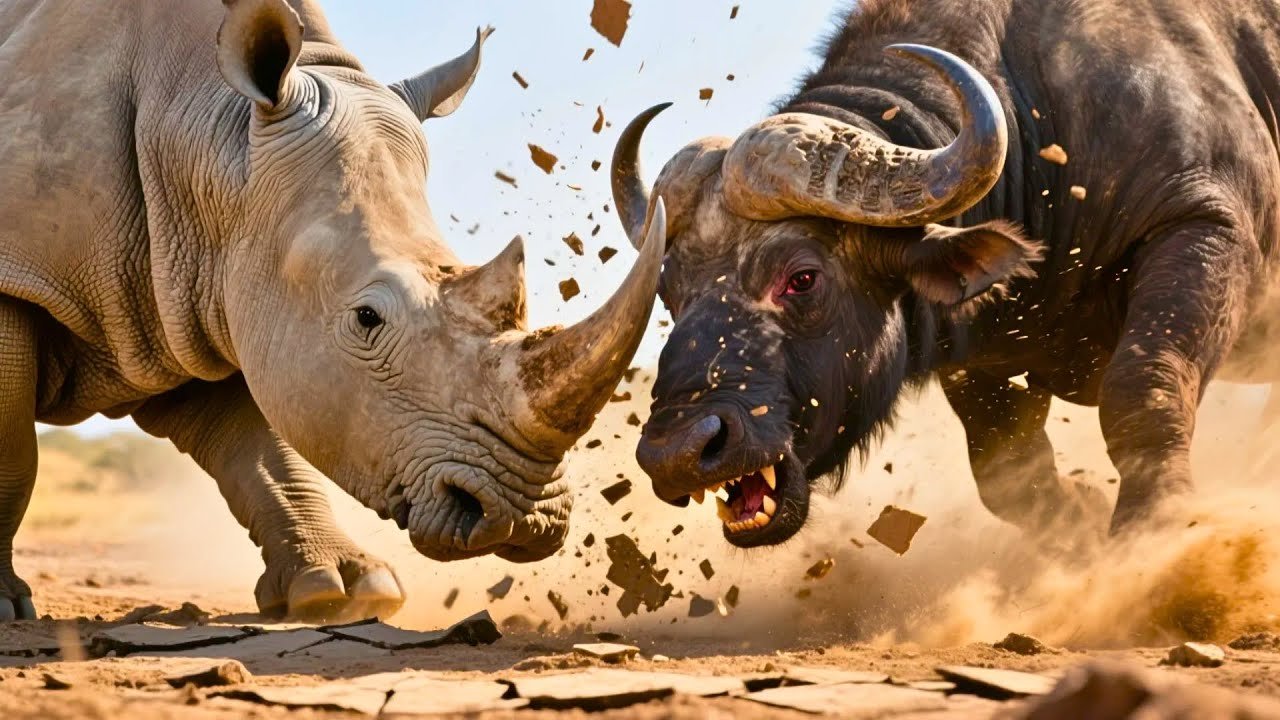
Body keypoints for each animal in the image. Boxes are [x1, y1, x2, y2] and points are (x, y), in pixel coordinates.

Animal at [0, 0, 667, 622]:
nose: (527, 517)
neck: (204, 144)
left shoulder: (198, 298)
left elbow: (263, 453)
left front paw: (345, 592)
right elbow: (14, 453)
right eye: (367, 318)